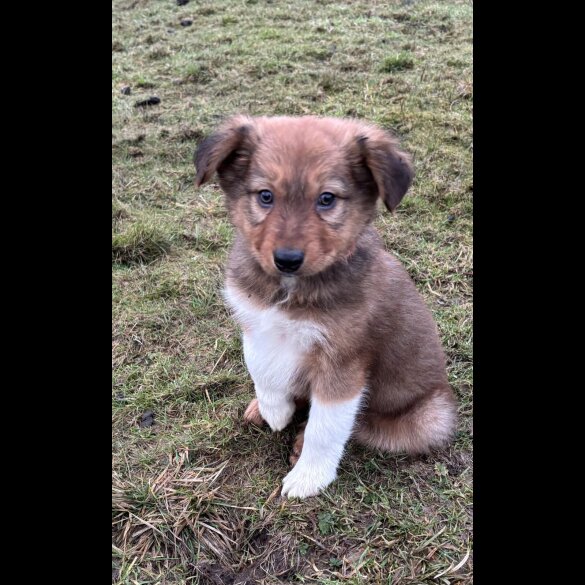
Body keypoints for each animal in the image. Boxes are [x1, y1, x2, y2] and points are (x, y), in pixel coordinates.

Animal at [193, 114, 456, 498]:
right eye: (266, 196)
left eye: (327, 199)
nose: (287, 259)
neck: (289, 290)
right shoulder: (256, 322)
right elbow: (261, 368)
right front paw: (275, 410)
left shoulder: (343, 363)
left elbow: (326, 426)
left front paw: (308, 476)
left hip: (427, 417)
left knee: (360, 424)